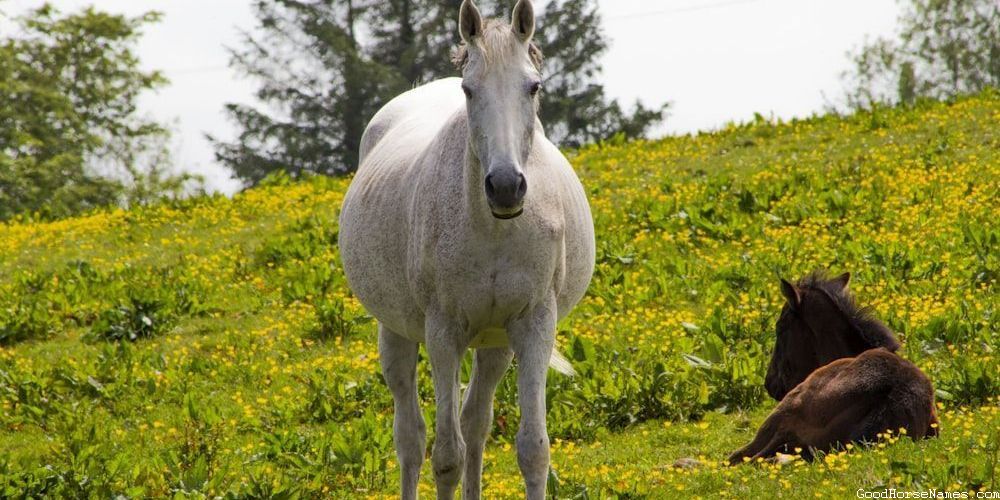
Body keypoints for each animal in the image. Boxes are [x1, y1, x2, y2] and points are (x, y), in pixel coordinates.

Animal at [337, 1, 595, 498]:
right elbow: (445, 457)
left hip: (496, 343)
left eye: (533, 86)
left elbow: (532, 450)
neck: (494, 230)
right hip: (396, 334)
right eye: (469, 90)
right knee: (411, 438)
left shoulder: (534, 324)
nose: (506, 186)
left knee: (476, 423)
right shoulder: (444, 332)